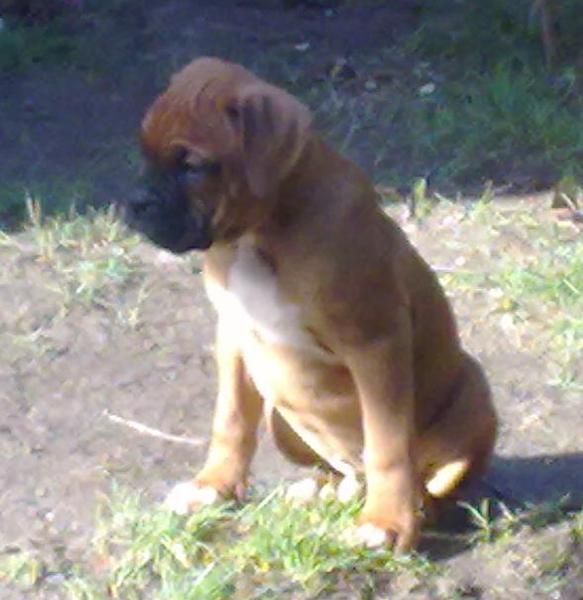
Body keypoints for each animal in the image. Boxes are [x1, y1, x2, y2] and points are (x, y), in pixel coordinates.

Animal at [123, 57, 498, 552]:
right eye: (144, 154)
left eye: (192, 166)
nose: (135, 204)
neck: (257, 234)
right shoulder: (234, 335)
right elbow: (230, 419)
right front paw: (213, 486)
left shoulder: (377, 344)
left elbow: (388, 444)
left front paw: (386, 522)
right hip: (280, 414)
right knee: (340, 470)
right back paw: (322, 489)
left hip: (473, 392)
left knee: (429, 482)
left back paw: (412, 508)